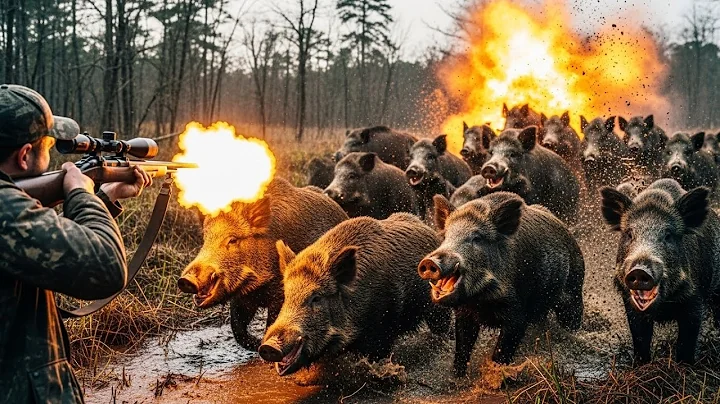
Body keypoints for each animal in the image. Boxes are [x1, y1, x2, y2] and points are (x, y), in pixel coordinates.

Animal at [177, 178, 348, 350]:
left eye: (232, 240)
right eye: (205, 239)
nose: (185, 280)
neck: (259, 287)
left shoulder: (281, 293)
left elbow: (272, 321)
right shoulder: (242, 298)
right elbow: (237, 327)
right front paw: (255, 343)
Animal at [418, 193, 585, 376]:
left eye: (477, 238)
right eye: (446, 236)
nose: (430, 262)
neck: (481, 300)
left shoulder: (517, 314)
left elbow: (501, 351)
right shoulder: (464, 314)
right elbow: (462, 349)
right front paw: (457, 377)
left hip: (575, 289)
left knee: (573, 318)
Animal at [600, 179, 720, 364]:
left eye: (668, 235)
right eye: (629, 234)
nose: (640, 271)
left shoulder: (695, 299)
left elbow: (687, 342)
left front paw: (684, 365)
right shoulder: (629, 303)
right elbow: (640, 340)